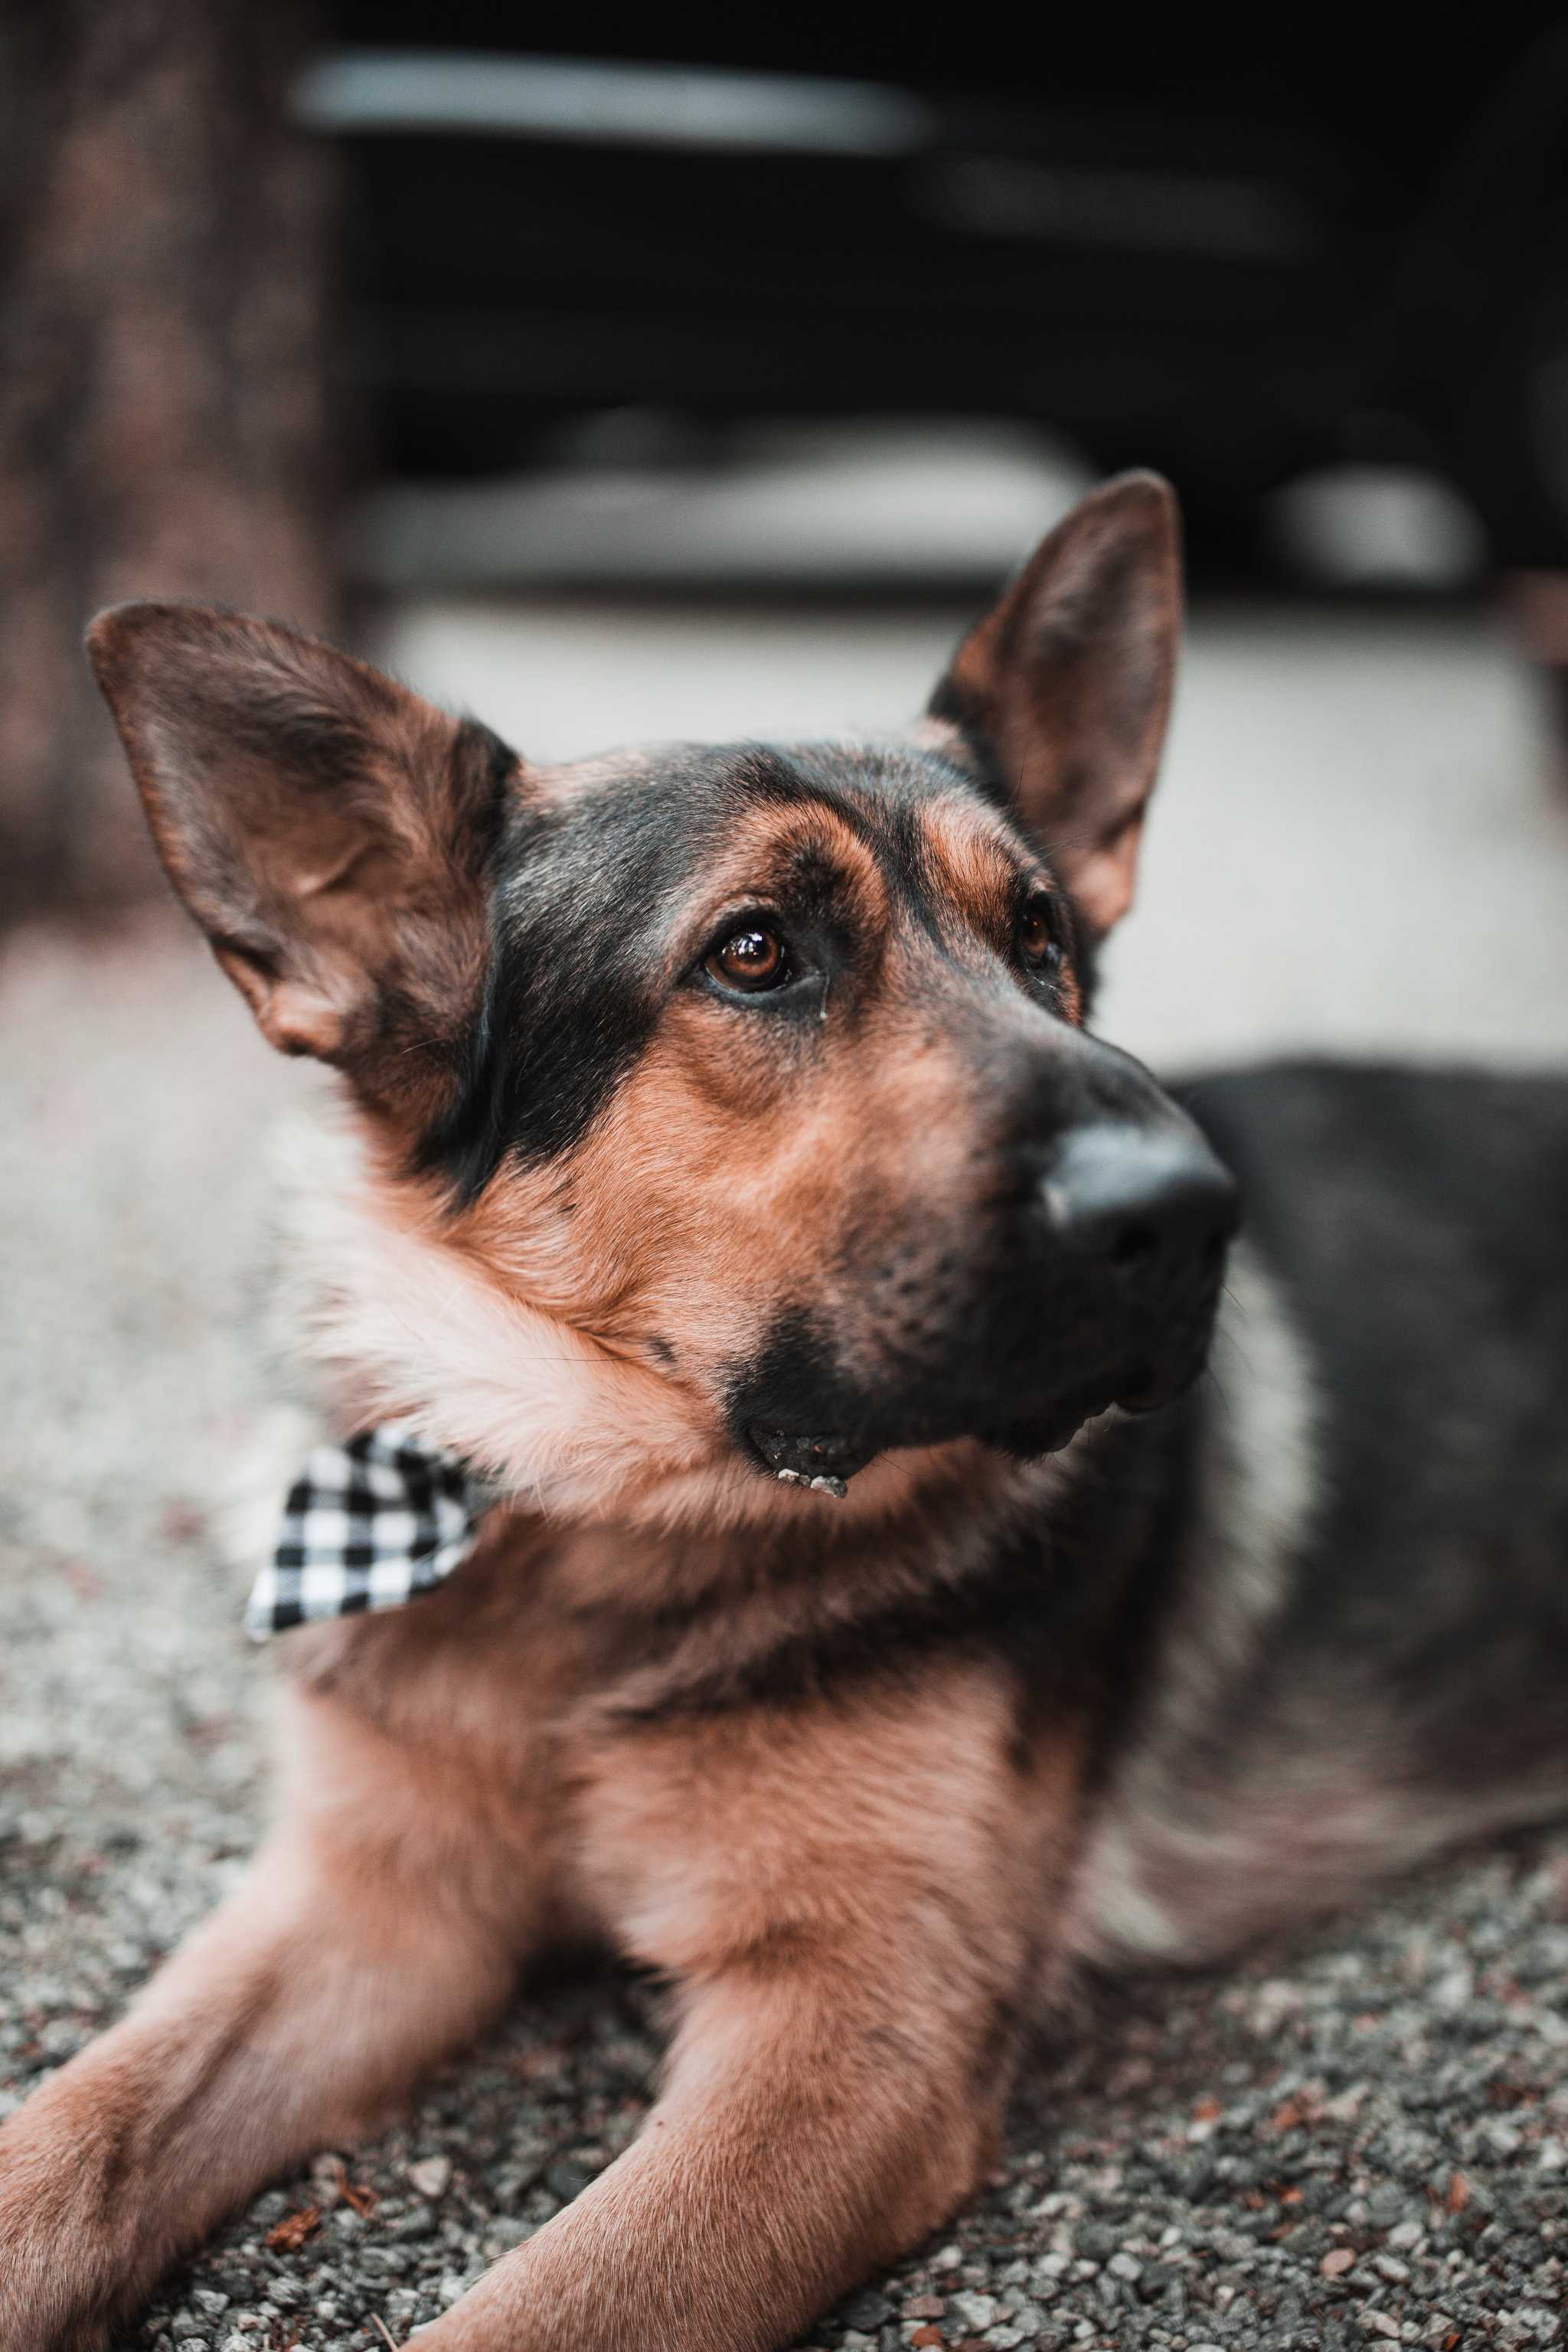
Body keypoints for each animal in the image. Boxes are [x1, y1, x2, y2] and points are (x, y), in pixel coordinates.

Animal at [3, 477, 1568, 2352]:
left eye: (1041, 940)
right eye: (755, 953)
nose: (1192, 1212)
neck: (604, 1525)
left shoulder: (843, 2027)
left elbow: (536, 2313)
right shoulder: (370, 1900)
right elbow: (76, 2134)